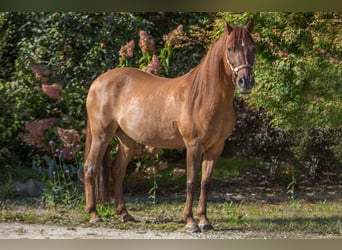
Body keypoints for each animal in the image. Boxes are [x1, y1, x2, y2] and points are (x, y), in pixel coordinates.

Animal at [83, 19, 256, 232]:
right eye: (230, 48)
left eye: (253, 48)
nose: (245, 82)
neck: (205, 96)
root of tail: (97, 82)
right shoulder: (193, 146)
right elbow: (191, 181)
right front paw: (190, 222)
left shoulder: (216, 148)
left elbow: (206, 183)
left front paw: (204, 220)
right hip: (101, 135)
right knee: (90, 167)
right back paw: (94, 215)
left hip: (127, 140)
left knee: (118, 172)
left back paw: (124, 214)